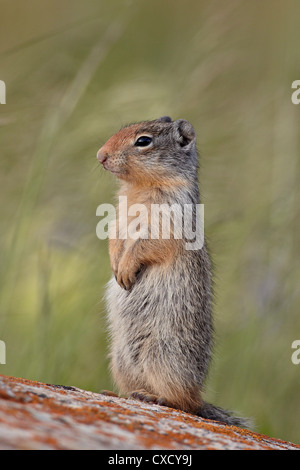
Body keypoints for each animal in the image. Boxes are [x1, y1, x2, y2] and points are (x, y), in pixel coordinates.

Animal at [96, 115, 248, 428]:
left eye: (143, 141)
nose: (100, 156)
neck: (139, 187)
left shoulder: (168, 218)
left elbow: (148, 244)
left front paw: (125, 269)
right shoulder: (117, 216)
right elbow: (115, 236)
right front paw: (115, 264)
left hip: (163, 357)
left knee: (184, 403)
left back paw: (157, 398)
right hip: (120, 360)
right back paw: (121, 394)